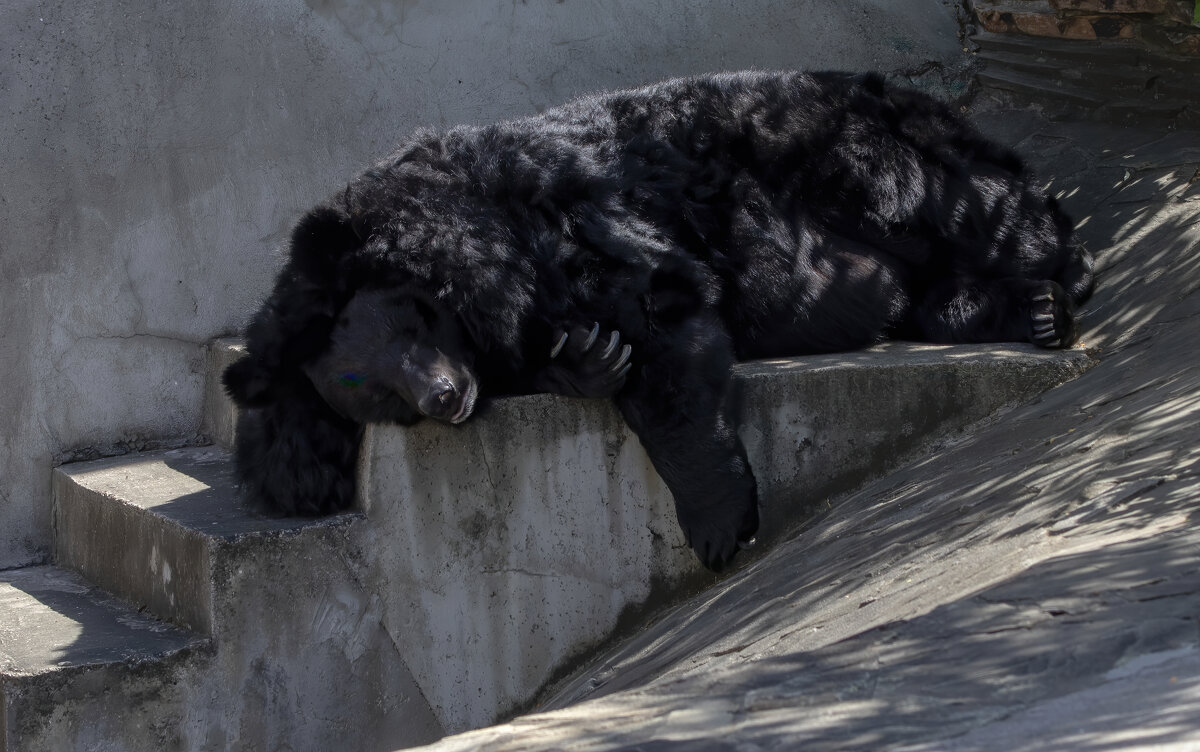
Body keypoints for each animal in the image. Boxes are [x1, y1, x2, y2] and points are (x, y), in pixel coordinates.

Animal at [224, 70, 1094, 571]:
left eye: (411, 324)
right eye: (365, 389)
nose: (443, 396)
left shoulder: (575, 228)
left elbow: (665, 326)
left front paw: (718, 524)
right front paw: (583, 357)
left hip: (861, 163)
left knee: (968, 205)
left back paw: (1064, 272)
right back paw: (1027, 310)